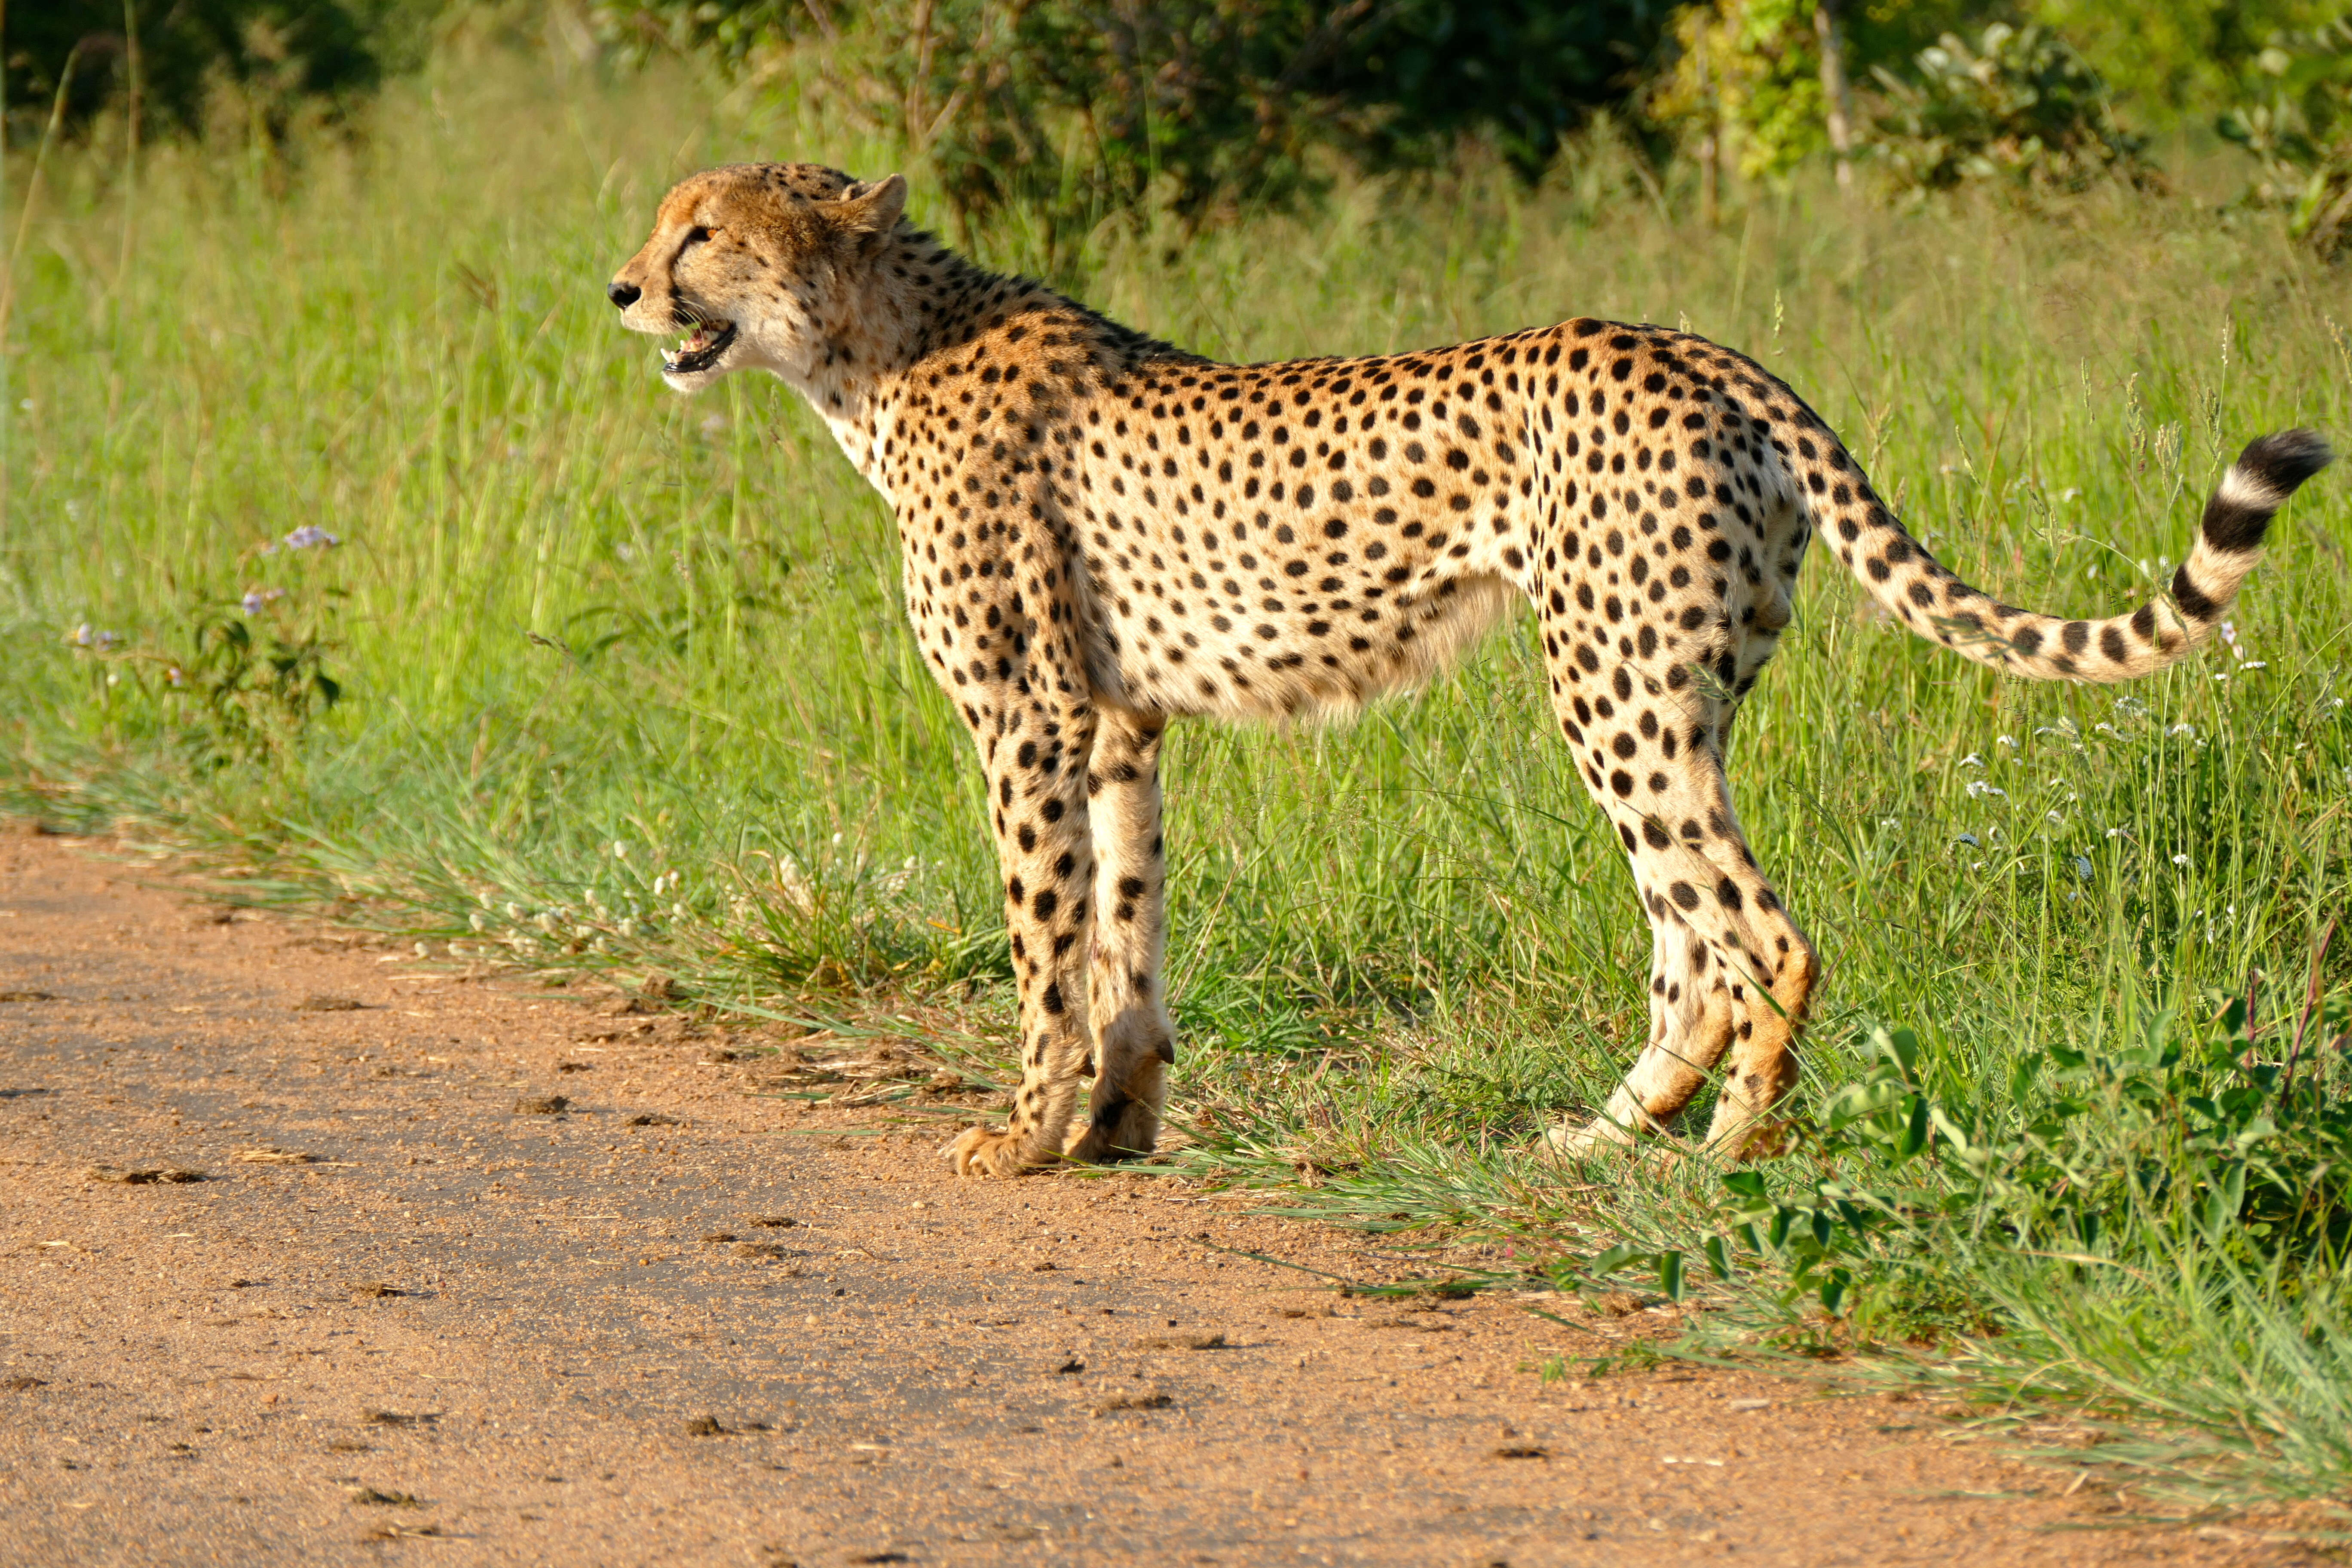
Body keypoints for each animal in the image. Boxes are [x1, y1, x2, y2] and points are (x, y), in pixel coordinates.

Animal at [606, 165, 2333, 1175]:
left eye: (703, 232)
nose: (622, 289)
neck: (872, 349)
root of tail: (1695, 345)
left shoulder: (1026, 719)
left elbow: (1045, 940)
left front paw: (1025, 1134)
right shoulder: (1119, 720)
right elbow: (1127, 928)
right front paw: (1118, 1123)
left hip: (1614, 690)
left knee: (1759, 935)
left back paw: (1734, 1151)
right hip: (1671, 693)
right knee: (1688, 941)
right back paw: (1604, 1136)